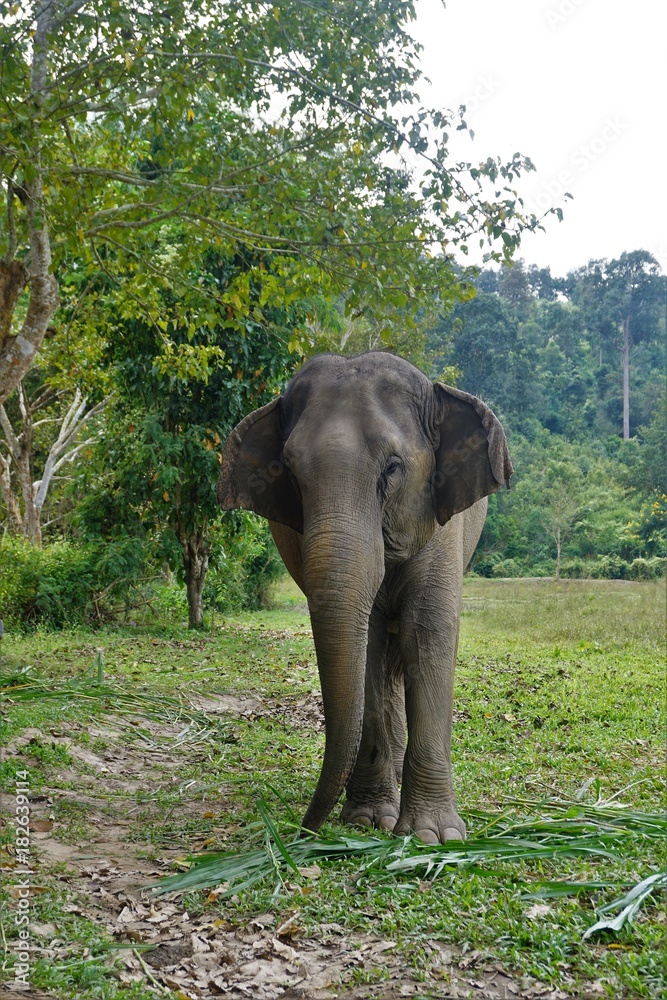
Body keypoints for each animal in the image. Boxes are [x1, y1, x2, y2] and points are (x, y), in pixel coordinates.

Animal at [217, 352, 512, 844]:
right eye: (288, 473)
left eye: (392, 468)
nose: (302, 832)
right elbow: (368, 641)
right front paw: (368, 820)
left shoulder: (442, 524)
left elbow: (429, 631)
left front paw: (433, 836)